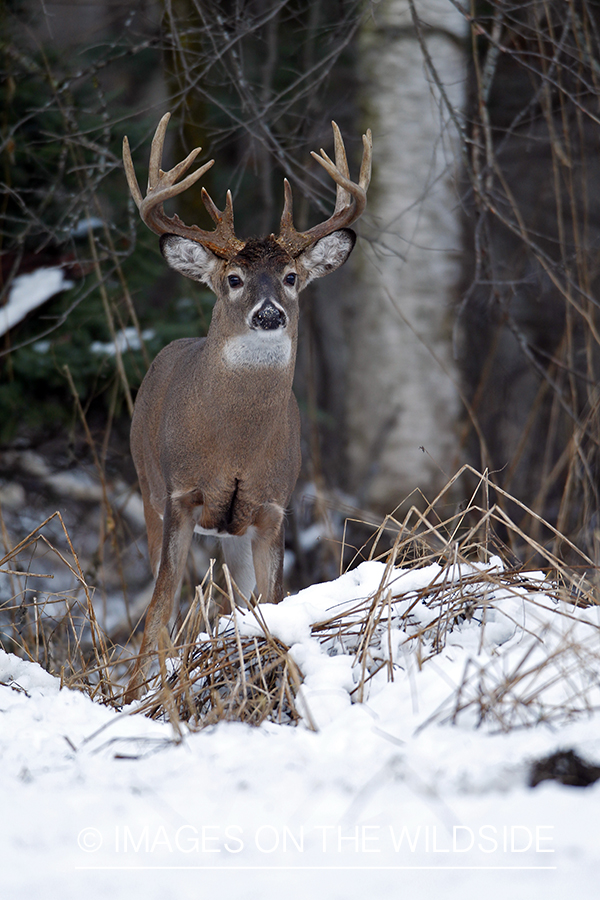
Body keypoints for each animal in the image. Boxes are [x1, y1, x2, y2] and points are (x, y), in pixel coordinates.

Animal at [122, 114, 370, 704]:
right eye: (233, 279)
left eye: (291, 277)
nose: (268, 313)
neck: (234, 443)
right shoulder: (180, 494)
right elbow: (160, 611)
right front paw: (142, 696)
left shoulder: (272, 506)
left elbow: (273, 604)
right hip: (147, 488)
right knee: (164, 600)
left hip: (232, 534)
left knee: (241, 600)